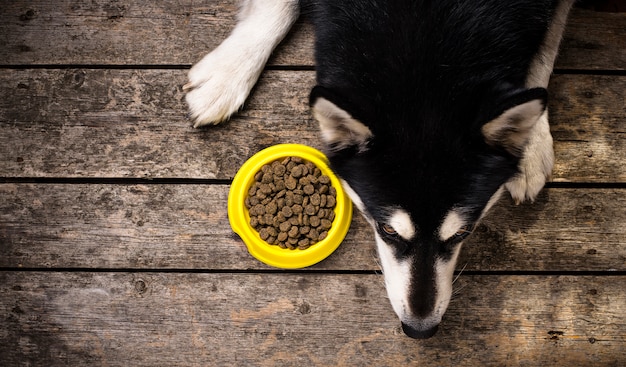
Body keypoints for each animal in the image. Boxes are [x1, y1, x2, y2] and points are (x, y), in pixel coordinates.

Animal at [183, 0, 572, 340]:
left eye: (463, 233)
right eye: (387, 230)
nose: (419, 330)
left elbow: (546, 48)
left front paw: (533, 143)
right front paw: (228, 73)